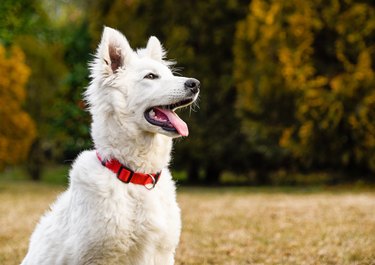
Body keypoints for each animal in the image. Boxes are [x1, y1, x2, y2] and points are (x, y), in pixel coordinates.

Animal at [21, 26, 200, 264]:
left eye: (170, 75)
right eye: (151, 76)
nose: (195, 84)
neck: (135, 177)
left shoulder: (161, 253)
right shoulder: (97, 256)